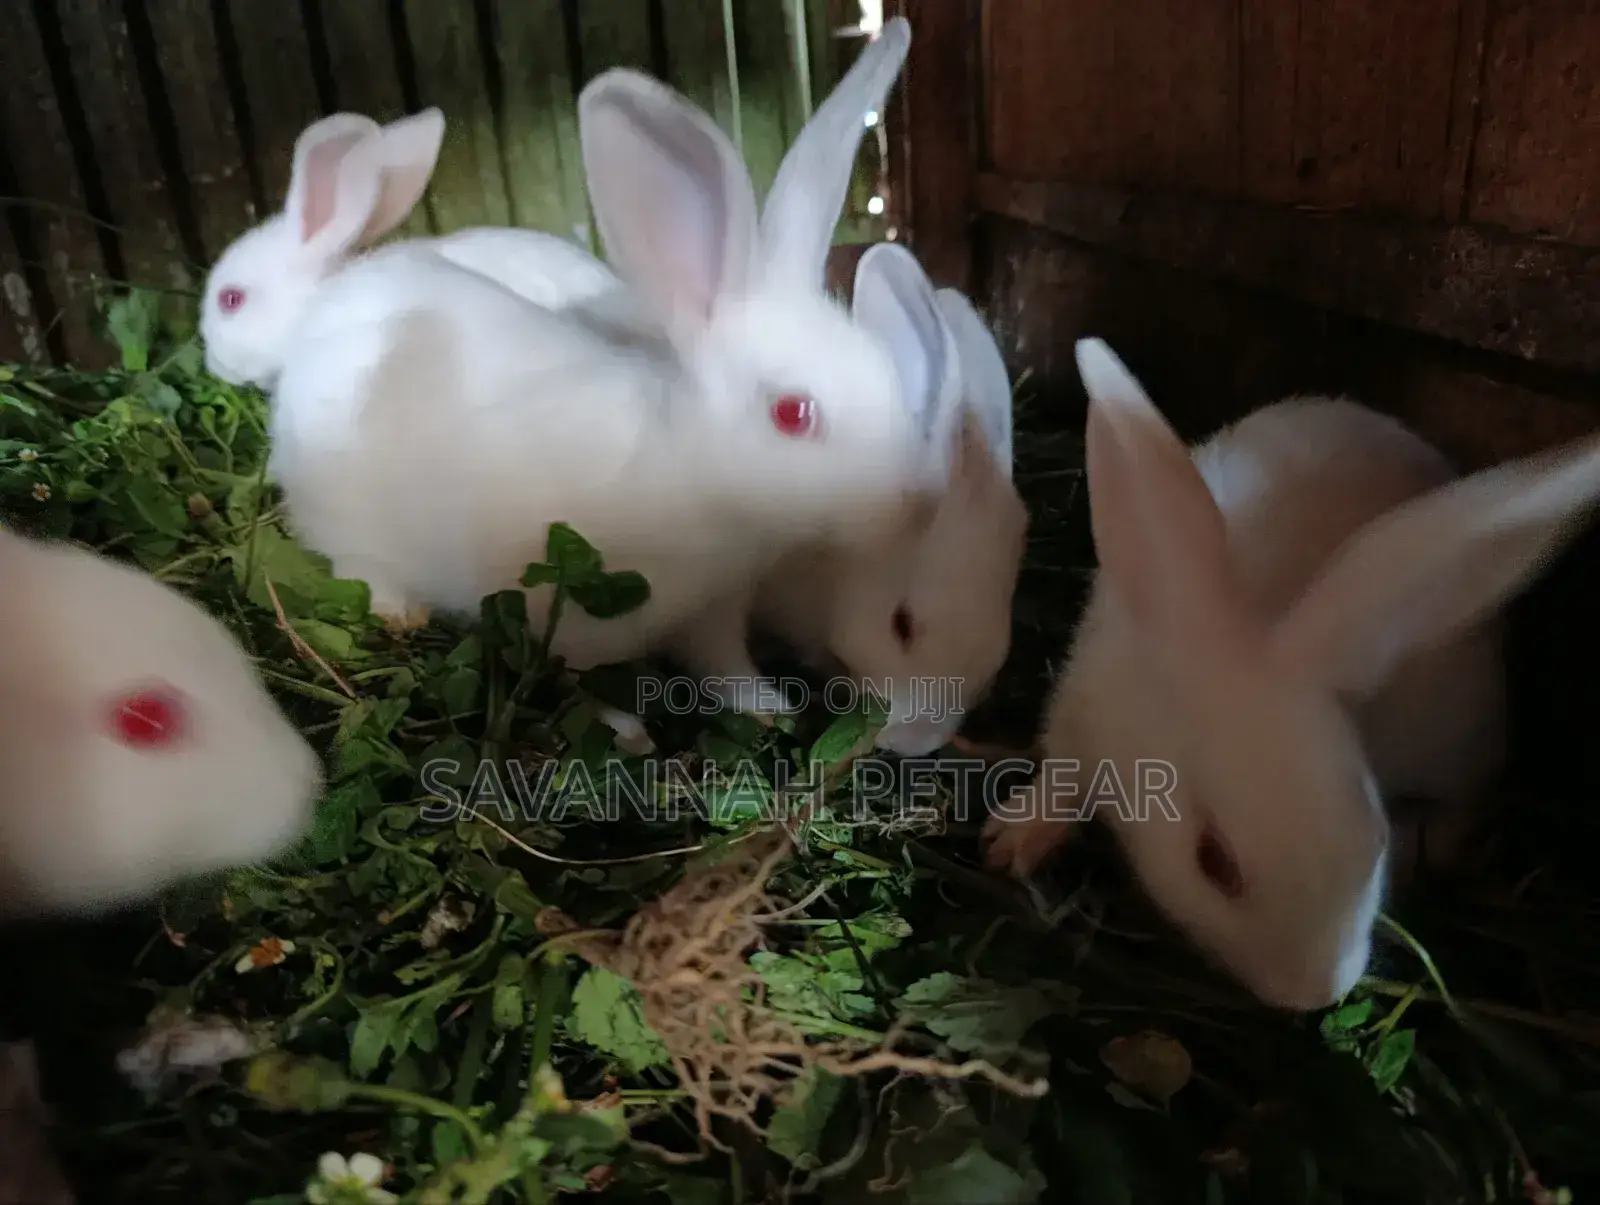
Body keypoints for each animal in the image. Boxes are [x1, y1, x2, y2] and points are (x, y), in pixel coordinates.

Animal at [256, 21, 936, 717]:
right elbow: (587, 684)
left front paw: (768, 707)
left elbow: (725, 666)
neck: (688, 466)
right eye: (793, 414)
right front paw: (630, 729)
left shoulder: (716, 612)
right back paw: (400, 610)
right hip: (347, 520)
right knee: (357, 563)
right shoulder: (572, 622)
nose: (914, 508)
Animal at [981, 338, 1600, 1012]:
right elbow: (1061, 784)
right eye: (1214, 863)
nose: (1317, 994)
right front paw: (1011, 843)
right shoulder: (1079, 714)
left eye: (1374, 838)